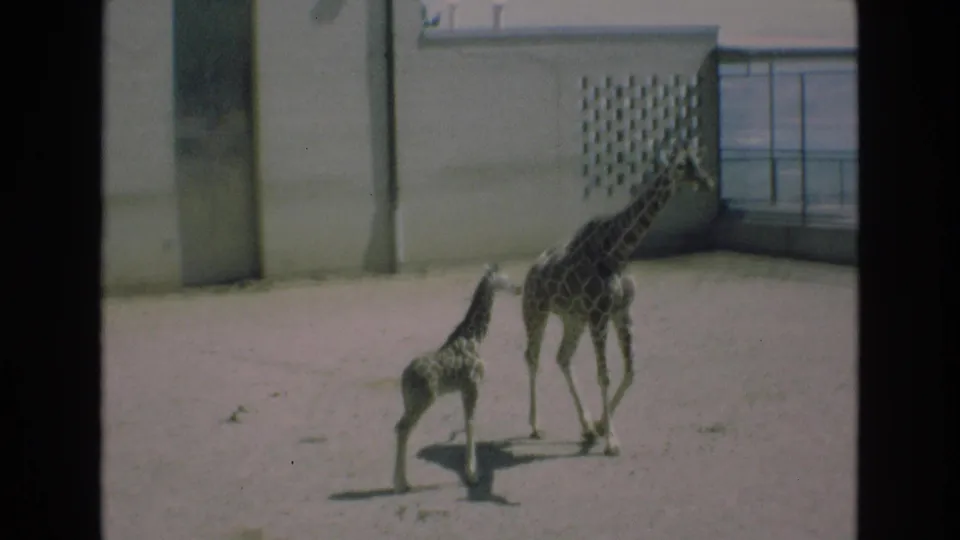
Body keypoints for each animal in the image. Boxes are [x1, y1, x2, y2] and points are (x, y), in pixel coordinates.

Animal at [393, 263, 522, 494]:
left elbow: (466, 422)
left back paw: (403, 481)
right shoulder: (473, 384)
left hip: (410, 402)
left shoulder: (464, 388)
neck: (474, 337)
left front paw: (471, 472)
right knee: (403, 429)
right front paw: (473, 476)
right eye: (503, 277)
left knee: (401, 428)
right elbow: (470, 423)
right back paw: (401, 484)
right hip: (423, 400)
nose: (519, 288)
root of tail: (404, 377)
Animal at [521, 138, 716, 456]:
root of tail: (531, 270)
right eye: (681, 166)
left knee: (562, 357)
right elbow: (605, 374)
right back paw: (536, 426)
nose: (708, 181)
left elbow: (631, 371)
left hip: (573, 318)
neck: (619, 252)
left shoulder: (621, 311)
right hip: (535, 311)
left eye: (697, 160)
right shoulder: (599, 314)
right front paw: (612, 440)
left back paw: (586, 426)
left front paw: (601, 426)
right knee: (532, 358)